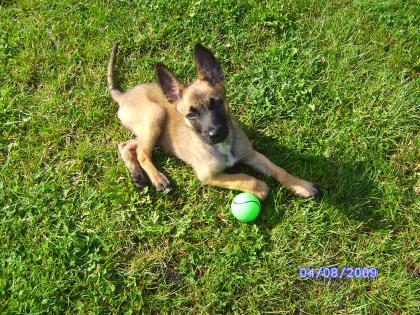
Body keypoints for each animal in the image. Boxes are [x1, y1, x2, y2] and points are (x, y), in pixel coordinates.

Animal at [106, 43, 320, 200]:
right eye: (191, 115)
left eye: (216, 103)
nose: (214, 133)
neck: (222, 146)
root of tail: (123, 96)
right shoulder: (207, 175)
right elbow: (244, 178)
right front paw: (260, 187)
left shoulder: (252, 155)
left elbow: (279, 169)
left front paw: (301, 185)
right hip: (155, 116)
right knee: (142, 153)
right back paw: (158, 179)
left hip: (149, 129)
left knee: (127, 145)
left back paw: (137, 175)